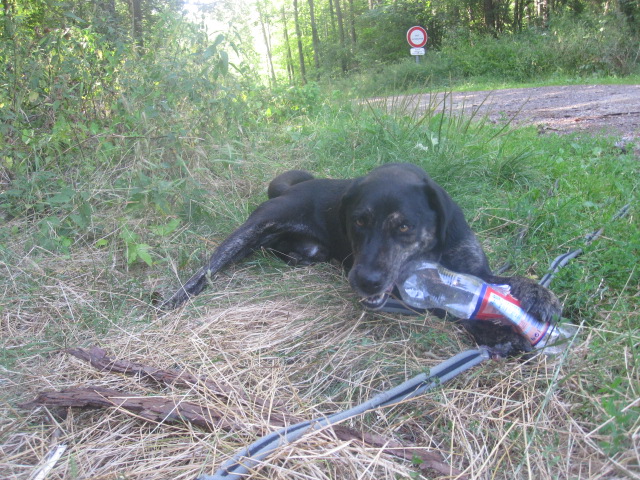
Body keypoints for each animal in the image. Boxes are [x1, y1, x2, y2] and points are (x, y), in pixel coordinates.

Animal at [162, 163, 564, 354]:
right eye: (358, 221)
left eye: (404, 226)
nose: (365, 280)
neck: (430, 252)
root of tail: (296, 187)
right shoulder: (406, 293)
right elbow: (453, 309)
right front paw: (496, 331)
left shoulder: (476, 270)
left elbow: (503, 282)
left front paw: (539, 294)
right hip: (253, 228)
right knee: (213, 264)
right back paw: (176, 296)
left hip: (307, 249)